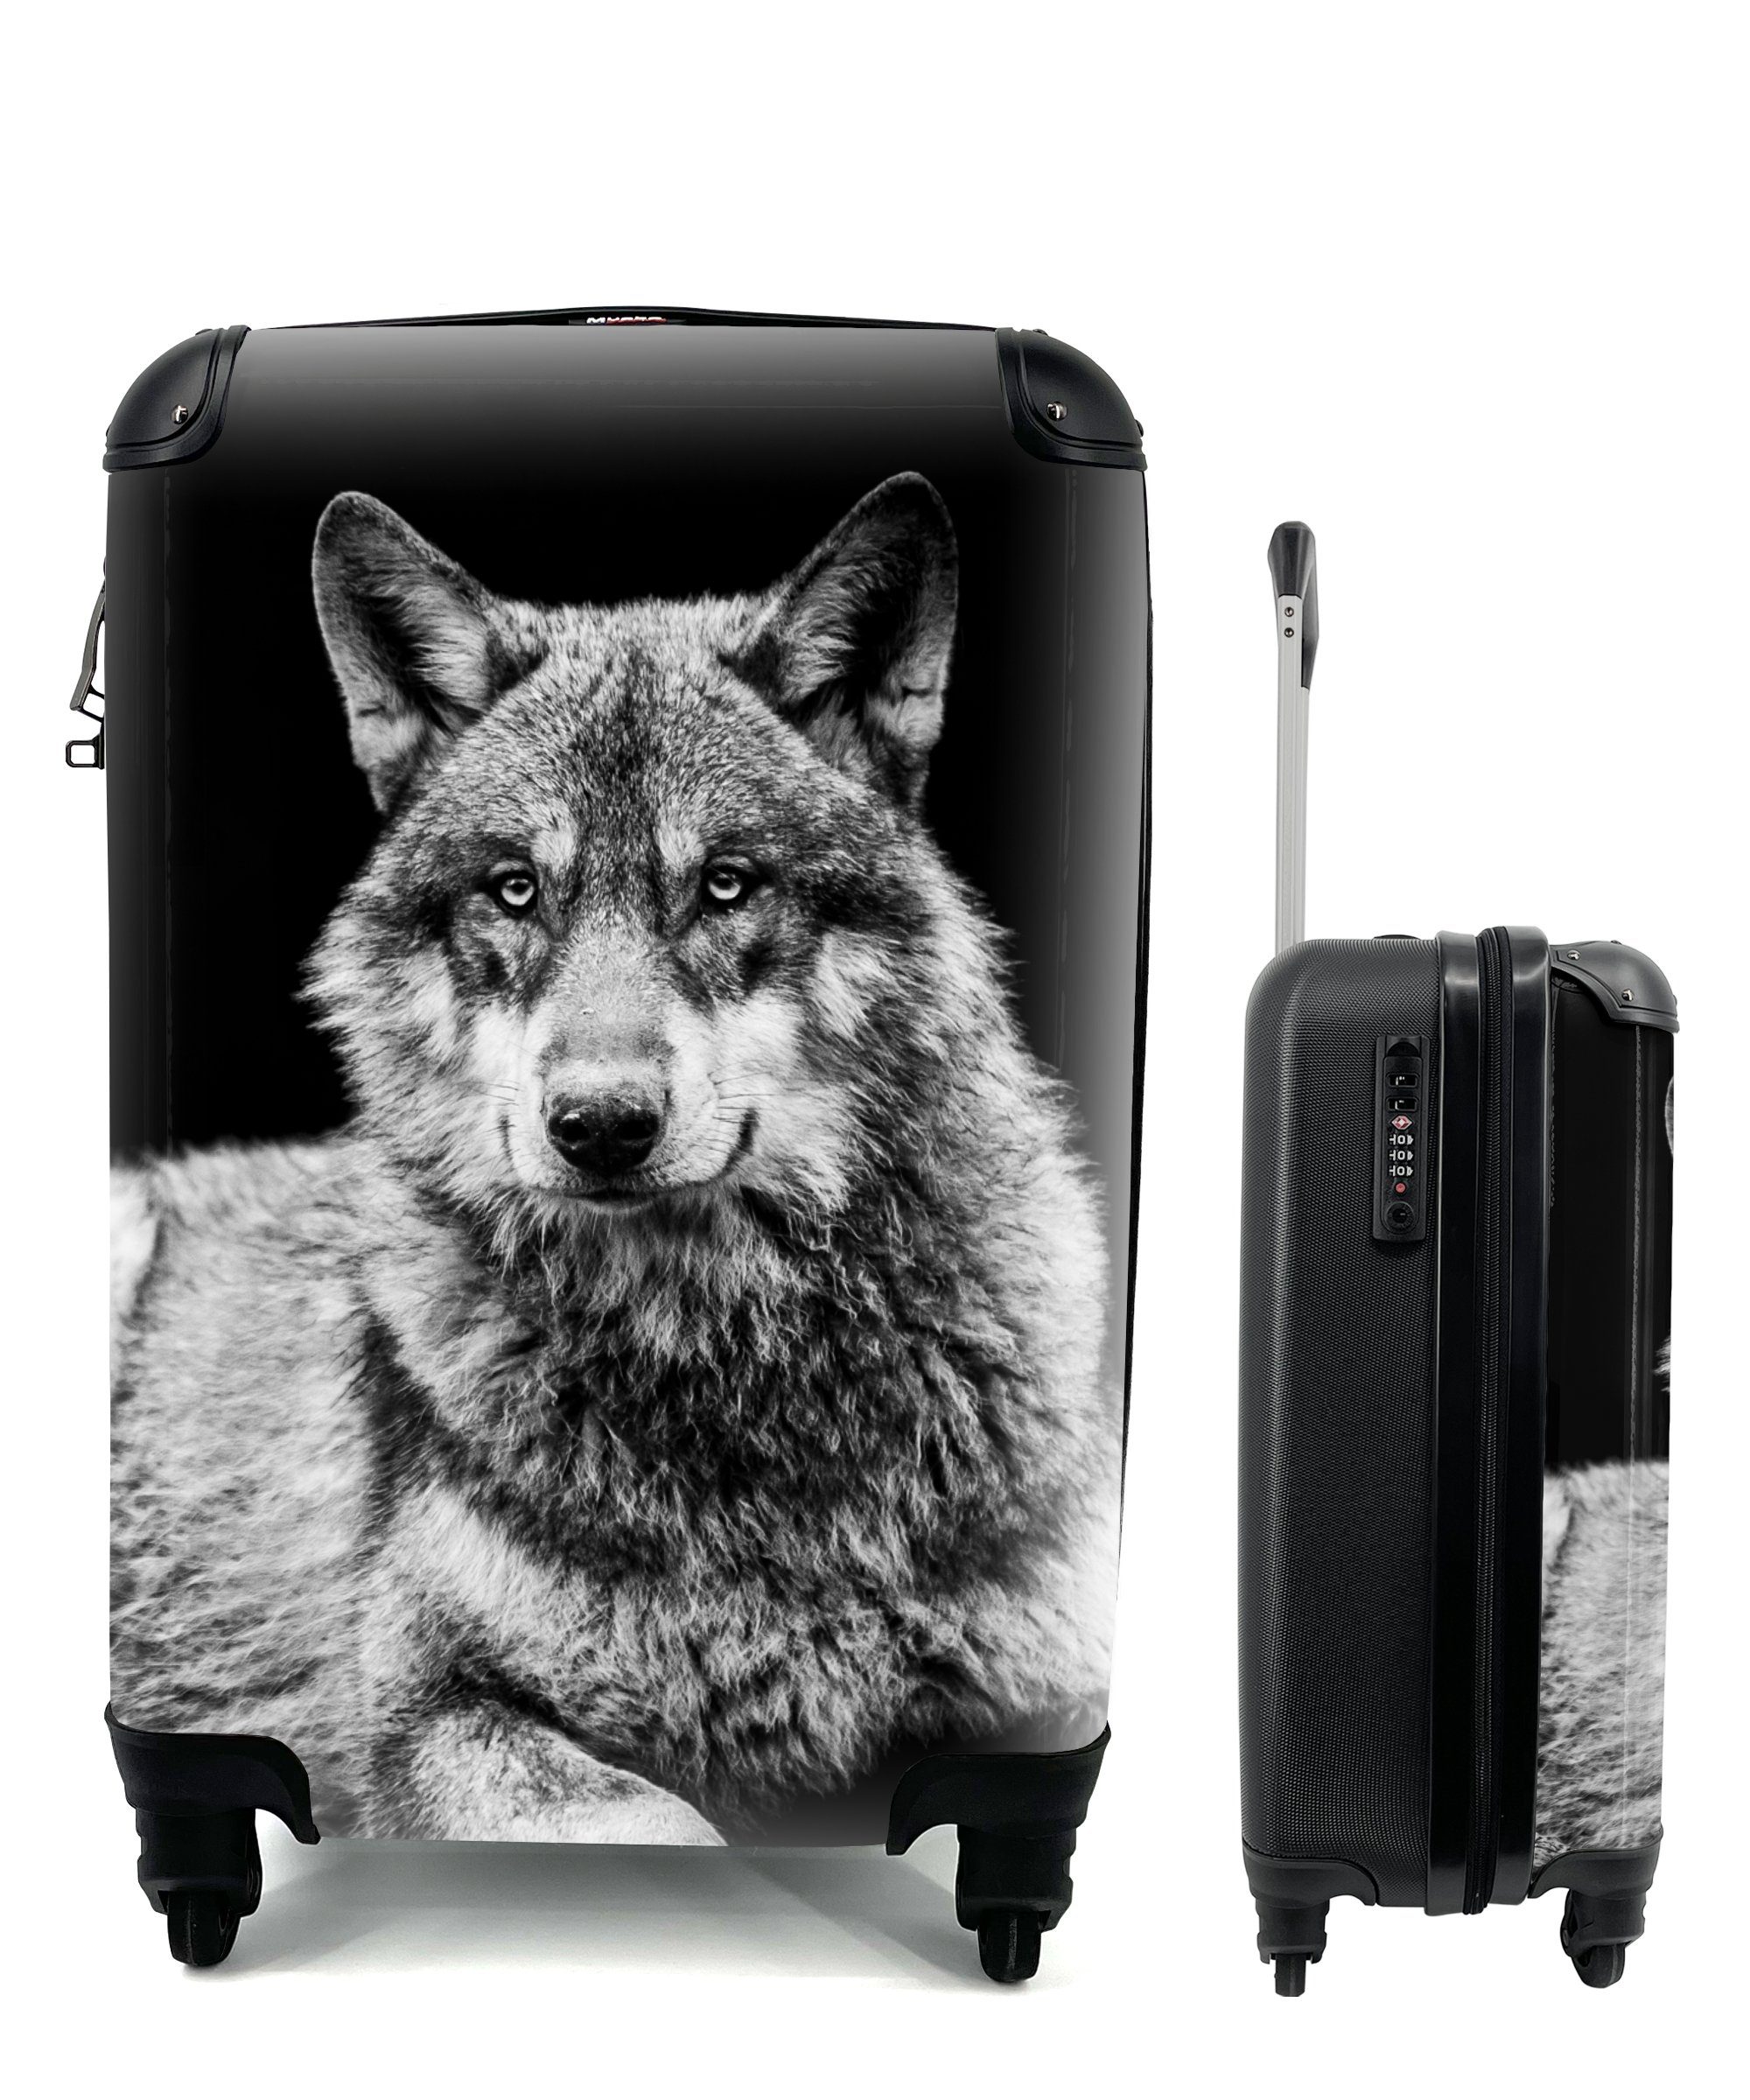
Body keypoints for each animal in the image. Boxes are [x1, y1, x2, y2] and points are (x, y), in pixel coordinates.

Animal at [110, 475, 1118, 1844]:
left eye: (727, 885)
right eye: (515, 890)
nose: (597, 1124)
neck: (727, 1361)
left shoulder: (1042, 1688)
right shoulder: (427, 1719)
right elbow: (675, 1832)